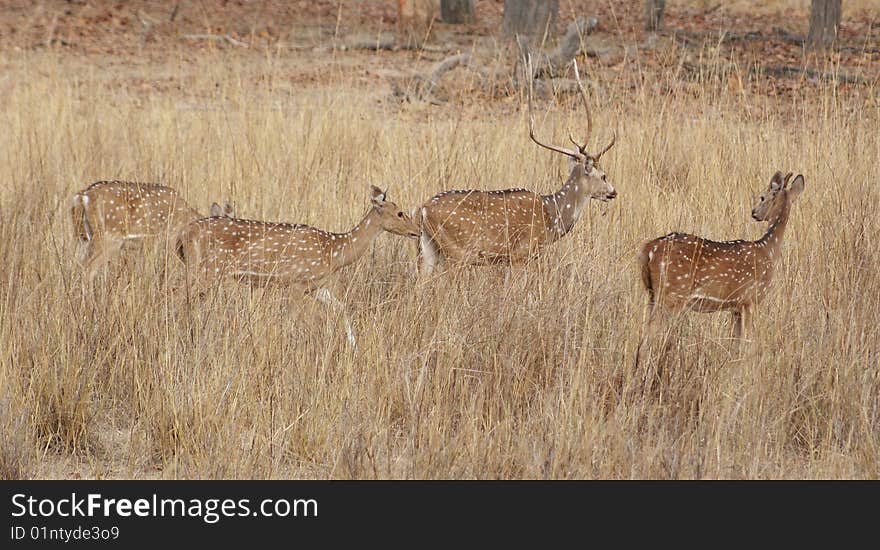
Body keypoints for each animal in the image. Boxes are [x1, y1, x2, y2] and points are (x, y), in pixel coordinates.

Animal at [175, 185, 420, 350]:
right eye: (400, 212)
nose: (417, 231)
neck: (334, 251)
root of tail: (183, 235)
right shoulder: (296, 281)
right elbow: (291, 320)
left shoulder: (315, 286)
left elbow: (341, 307)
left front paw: (354, 346)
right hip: (208, 269)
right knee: (180, 295)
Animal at [414, 61, 616, 276]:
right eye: (604, 176)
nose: (614, 192)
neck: (552, 217)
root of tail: (422, 209)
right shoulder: (521, 254)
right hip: (456, 249)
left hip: (426, 248)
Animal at [636, 171, 808, 362]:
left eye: (762, 197)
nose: (754, 212)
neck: (767, 250)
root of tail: (647, 250)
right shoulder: (751, 299)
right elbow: (750, 345)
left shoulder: (736, 306)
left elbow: (736, 345)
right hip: (672, 294)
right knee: (647, 341)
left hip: (653, 294)